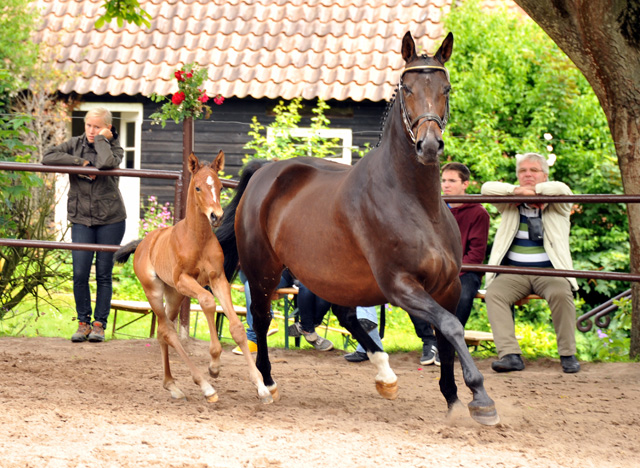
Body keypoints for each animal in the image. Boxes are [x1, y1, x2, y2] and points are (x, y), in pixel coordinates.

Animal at [115, 152, 270, 404]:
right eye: (198, 187)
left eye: (219, 186)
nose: (216, 216)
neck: (198, 239)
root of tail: (144, 244)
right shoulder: (184, 280)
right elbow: (207, 302)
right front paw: (214, 365)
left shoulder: (218, 279)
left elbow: (236, 327)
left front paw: (261, 387)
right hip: (155, 291)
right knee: (169, 331)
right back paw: (206, 387)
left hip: (174, 295)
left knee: (163, 331)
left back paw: (172, 385)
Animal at [218, 31, 502, 426]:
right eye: (407, 87)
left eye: (445, 88)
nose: (428, 145)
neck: (416, 202)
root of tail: (266, 169)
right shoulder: (400, 285)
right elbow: (451, 327)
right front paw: (481, 398)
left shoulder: (448, 286)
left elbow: (447, 336)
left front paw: (454, 399)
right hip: (263, 270)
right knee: (261, 318)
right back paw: (267, 384)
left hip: (337, 276)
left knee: (347, 316)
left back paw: (385, 375)